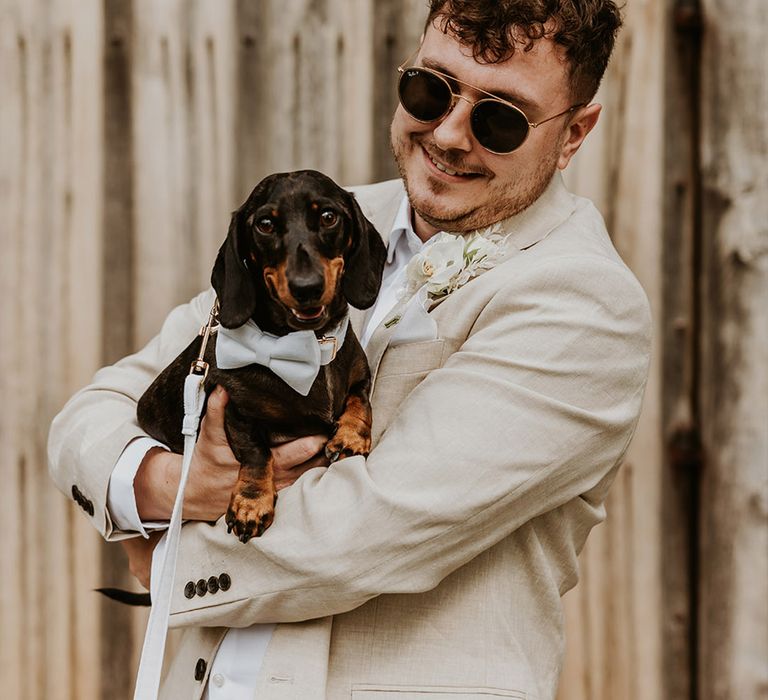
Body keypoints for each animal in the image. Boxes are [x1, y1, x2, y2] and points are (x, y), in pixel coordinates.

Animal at [136, 170, 388, 540]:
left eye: (329, 217)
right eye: (265, 224)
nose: (306, 287)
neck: (308, 347)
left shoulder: (359, 376)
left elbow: (360, 401)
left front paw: (350, 437)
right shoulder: (237, 411)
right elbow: (257, 453)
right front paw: (252, 503)